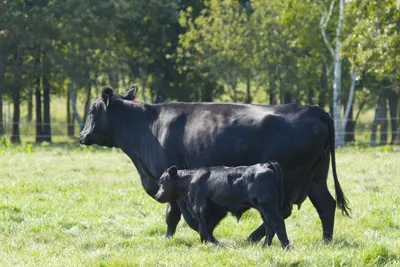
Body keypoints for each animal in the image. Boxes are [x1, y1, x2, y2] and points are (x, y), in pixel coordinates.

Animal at [155, 162, 290, 250]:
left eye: (162, 182)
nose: (157, 196)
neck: (190, 180)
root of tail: (266, 164)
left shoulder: (202, 211)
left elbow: (204, 230)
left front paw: (217, 245)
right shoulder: (216, 212)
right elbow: (206, 231)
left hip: (268, 207)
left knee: (278, 223)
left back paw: (286, 247)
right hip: (264, 210)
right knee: (269, 226)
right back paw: (265, 246)